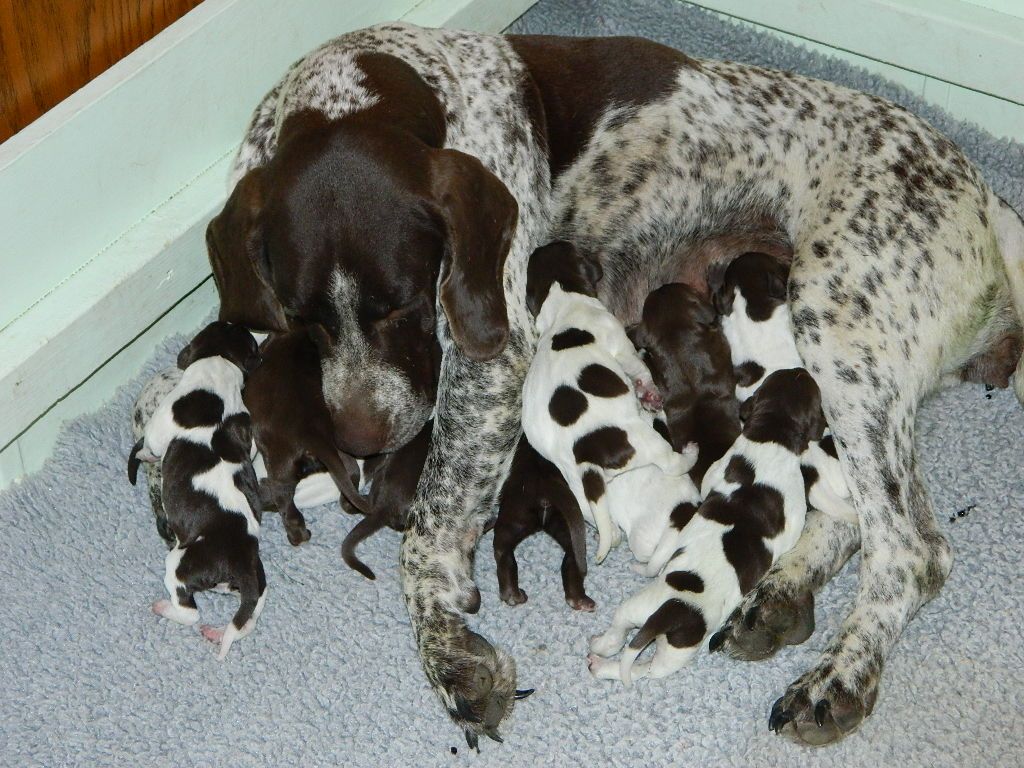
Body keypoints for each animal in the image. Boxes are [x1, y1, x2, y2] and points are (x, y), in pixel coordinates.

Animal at [128, 322, 268, 659]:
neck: (218, 367)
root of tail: (239, 560)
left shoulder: (158, 429)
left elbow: (151, 447)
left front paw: (145, 456)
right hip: (257, 587)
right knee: (245, 621)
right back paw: (218, 633)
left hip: (177, 563)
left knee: (190, 613)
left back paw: (163, 607)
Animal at [492, 436, 593, 611]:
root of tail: (545, 484)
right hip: (564, 525)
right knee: (572, 557)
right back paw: (580, 600)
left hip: (512, 519)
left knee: (503, 553)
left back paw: (512, 595)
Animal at [521, 241, 695, 563]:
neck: (562, 301)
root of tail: (586, 454)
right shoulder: (621, 344)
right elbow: (638, 367)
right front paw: (648, 390)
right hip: (645, 440)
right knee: (670, 462)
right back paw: (689, 454)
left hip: (574, 482)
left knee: (598, 518)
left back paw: (610, 535)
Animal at [587, 368, 824, 684]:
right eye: (787, 376)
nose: (801, 369)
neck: (773, 438)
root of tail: (672, 615)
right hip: (662, 638)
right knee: (632, 656)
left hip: (649, 624)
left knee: (629, 652)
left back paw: (599, 656)